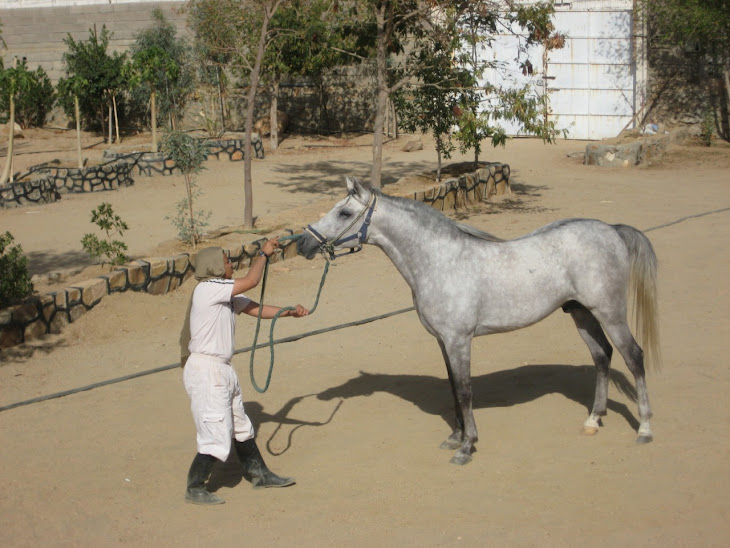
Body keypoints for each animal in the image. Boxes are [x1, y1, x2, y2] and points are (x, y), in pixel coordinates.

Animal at [296, 178, 660, 464]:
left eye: (344, 213)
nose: (303, 243)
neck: (440, 261)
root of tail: (611, 230)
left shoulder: (459, 339)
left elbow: (465, 390)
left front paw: (467, 446)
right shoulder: (443, 341)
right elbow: (453, 388)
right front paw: (455, 437)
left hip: (609, 312)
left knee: (633, 356)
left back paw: (644, 428)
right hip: (581, 313)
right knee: (602, 357)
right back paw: (594, 419)